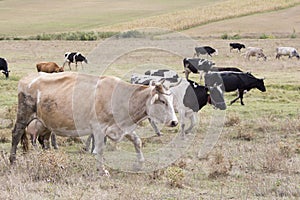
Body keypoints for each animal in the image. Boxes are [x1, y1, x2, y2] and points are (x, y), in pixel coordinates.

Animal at [10, 72, 177, 175]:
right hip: (24, 115)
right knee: (17, 135)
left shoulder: (122, 127)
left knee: (43, 140)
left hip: (44, 123)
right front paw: (102, 171)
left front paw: (139, 164)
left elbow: (137, 141)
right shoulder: (99, 128)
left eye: (171, 99)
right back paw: (13, 161)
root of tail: (28, 78)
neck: (121, 97)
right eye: (162, 101)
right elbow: (100, 149)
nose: (174, 122)